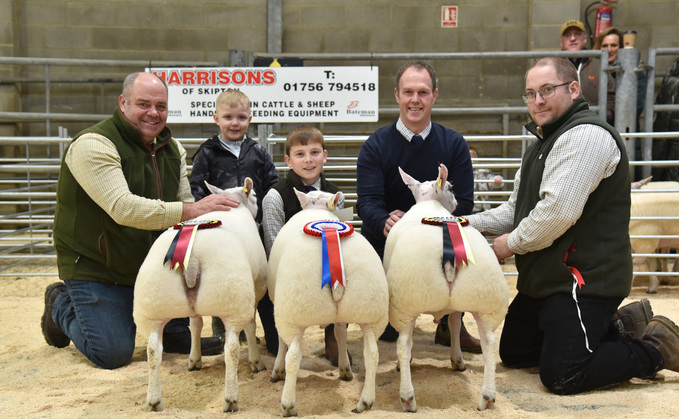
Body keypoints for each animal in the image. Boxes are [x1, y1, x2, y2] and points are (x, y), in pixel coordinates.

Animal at [133, 180, 268, 414]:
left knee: (153, 349)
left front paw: (194, 359)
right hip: (233, 299)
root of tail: (192, 259)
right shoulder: (256, 289)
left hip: (153, 305)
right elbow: (251, 326)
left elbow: (196, 324)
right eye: (255, 196)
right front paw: (255, 361)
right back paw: (231, 398)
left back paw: (154, 400)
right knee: (231, 348)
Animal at [270, 189, 390, 416]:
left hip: (293, 312)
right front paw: (345, 369)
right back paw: (365, 401)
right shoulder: (343, 317)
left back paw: (288, 404)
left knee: (293, 356)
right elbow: (340, 333)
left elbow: (282, 344)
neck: (318, 210)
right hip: (370, 310)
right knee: (372, 354)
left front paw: (276, 372)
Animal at [382, 165, 510, 414]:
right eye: (451, 187)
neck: (430, 205)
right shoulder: (458, 304)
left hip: (406, 302)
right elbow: (453, 324)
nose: (456, 201)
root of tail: (448, 254)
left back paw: (407, 396)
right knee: (490, 343)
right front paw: (457, 360)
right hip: (485, 299)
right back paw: (488, 396)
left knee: (403, 344)